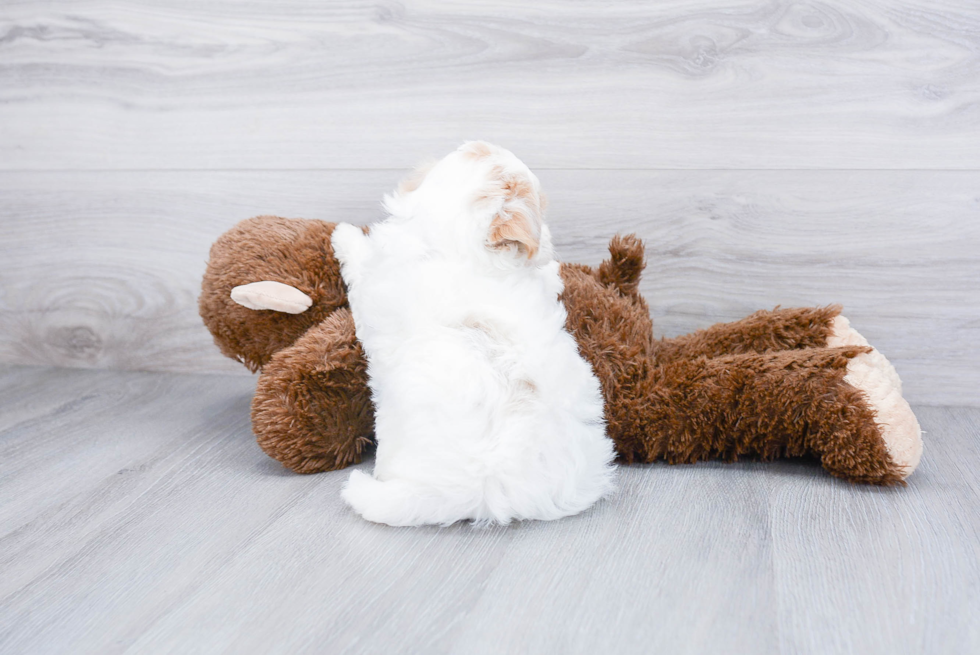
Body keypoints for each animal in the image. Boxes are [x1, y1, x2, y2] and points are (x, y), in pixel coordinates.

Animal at [334, 141, 616, 524]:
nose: (481, 142)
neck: (461, 247)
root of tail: (489, 488)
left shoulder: (376, 283)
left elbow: (362, 261)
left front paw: (343, 234)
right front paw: (551, 268)